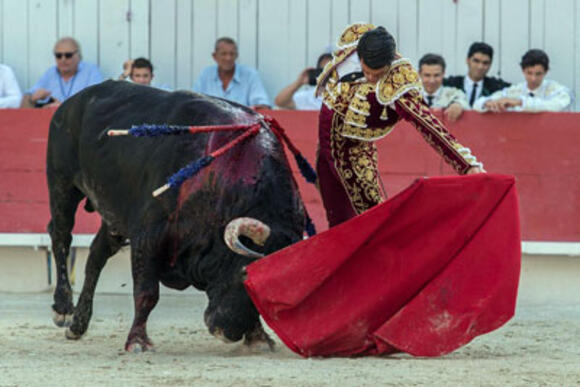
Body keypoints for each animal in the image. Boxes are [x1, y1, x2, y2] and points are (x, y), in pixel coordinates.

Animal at [47, 80, 306, 354]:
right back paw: (63, 308)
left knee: (96, 255)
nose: (226, 333)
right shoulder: (148, 235)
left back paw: (78, 324)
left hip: (113, 214)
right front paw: (138, 342)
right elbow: (147, 292)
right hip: (62, 182)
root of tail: (75, 99)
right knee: (61, 235)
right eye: (243, 273)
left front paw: (258, 338)